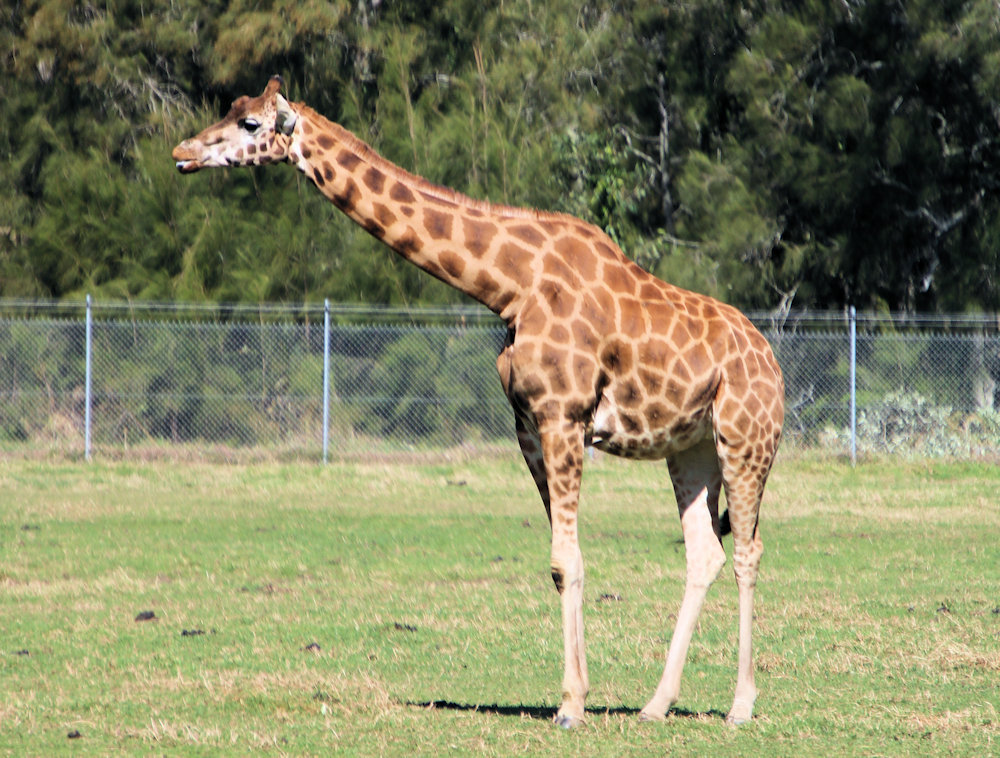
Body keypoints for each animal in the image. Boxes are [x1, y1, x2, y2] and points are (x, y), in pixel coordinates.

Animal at [176, 77, 784, 732]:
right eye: (231, 110)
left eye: (252, 125)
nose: (182, 152)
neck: (509, 287)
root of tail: (775, 368)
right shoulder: (529, 425)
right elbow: (560, 562)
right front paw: (575, 696)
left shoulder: (563, 416)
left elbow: (570, 559)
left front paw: (571, 706)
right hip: (690, 449)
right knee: (705, 553)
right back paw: (656, 704)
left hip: (745, 440)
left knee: (747, 550)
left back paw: (741, 705)